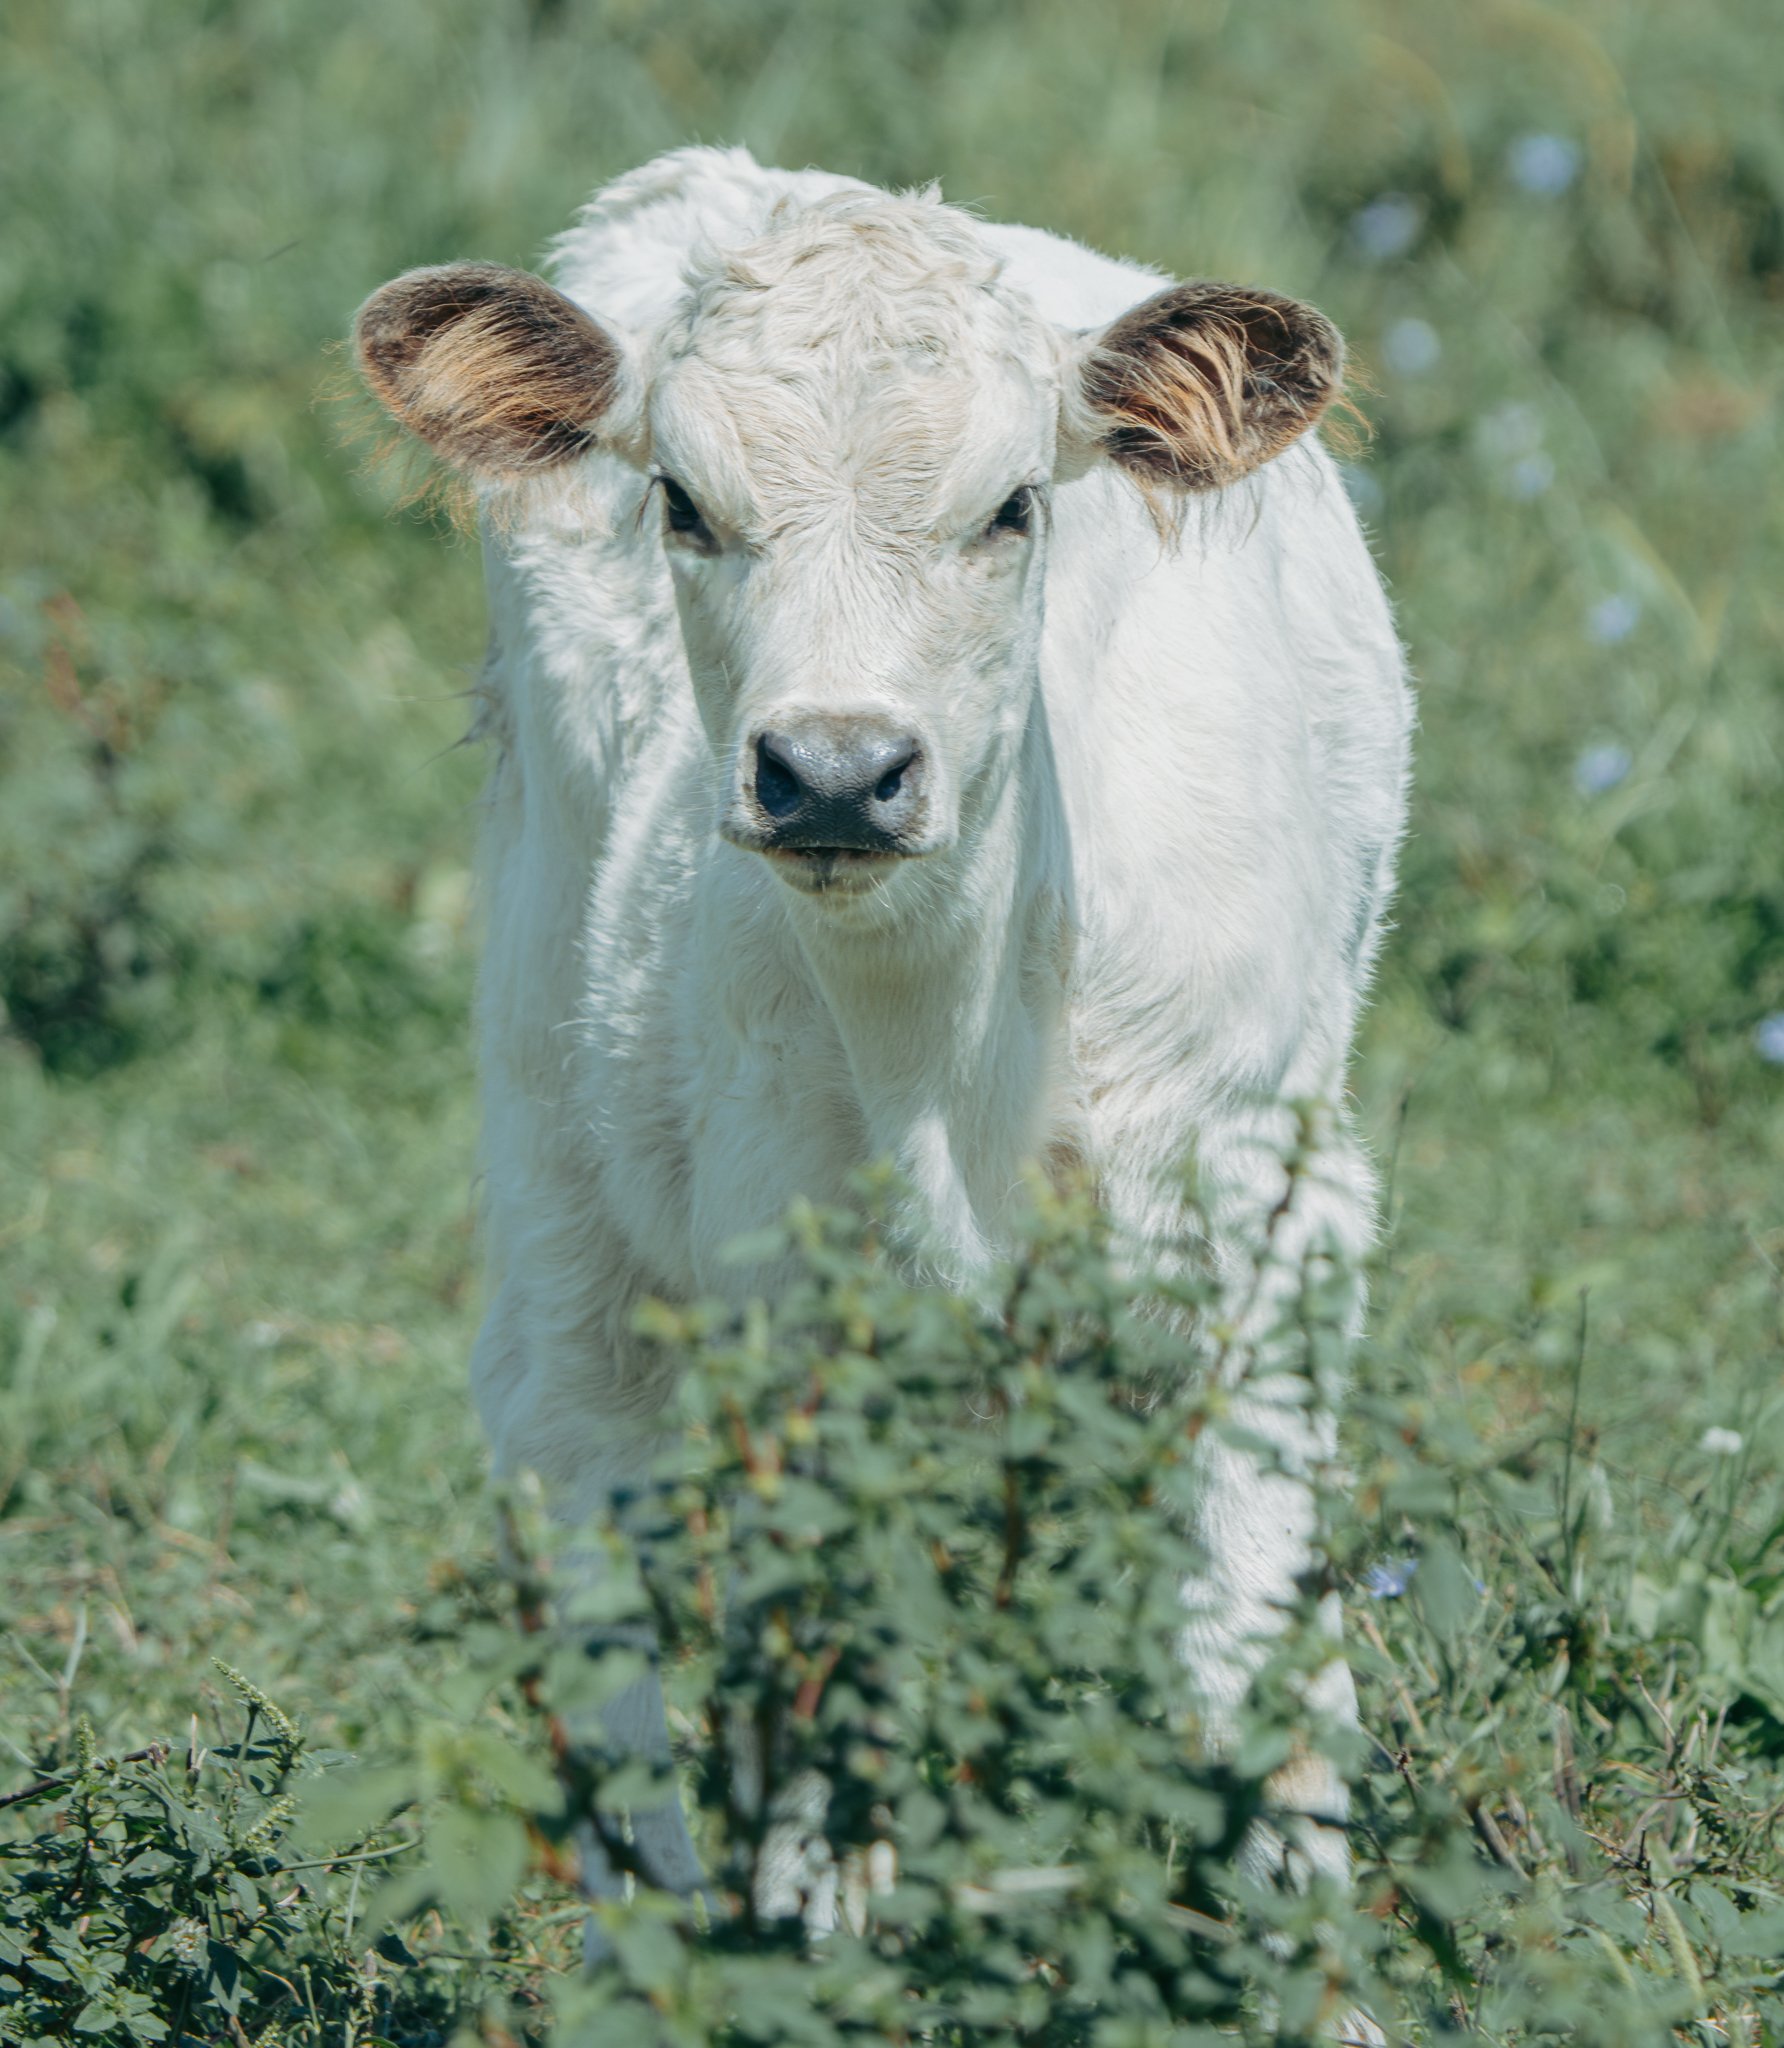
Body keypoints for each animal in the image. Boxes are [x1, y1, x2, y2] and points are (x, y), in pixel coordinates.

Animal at [354, 145, 1413, 1930]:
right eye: (682, 504)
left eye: (1014, 506)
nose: (836, 774)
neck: (963, 1056)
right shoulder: (786, 1293)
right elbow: (813, 1732)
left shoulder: (1270, 1240)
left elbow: (1257, 1674)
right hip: (551, 1110)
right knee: (573, 1459)